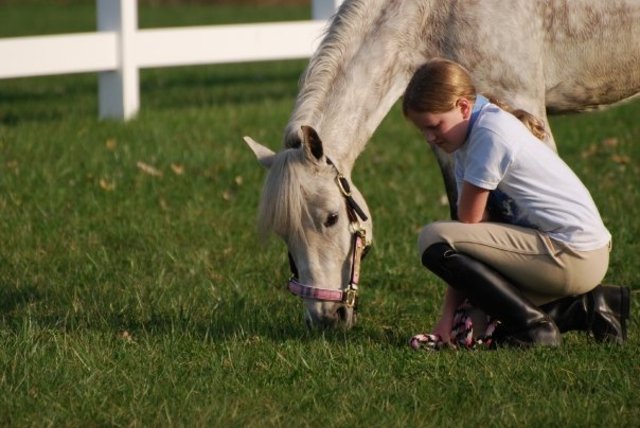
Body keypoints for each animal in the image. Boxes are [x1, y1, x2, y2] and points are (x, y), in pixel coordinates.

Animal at [245, 0, 640, 329]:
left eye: (331, 218)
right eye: (283, 233)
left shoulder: (524, 109)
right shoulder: (449, 144)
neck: (436, 11)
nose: (325, 318)